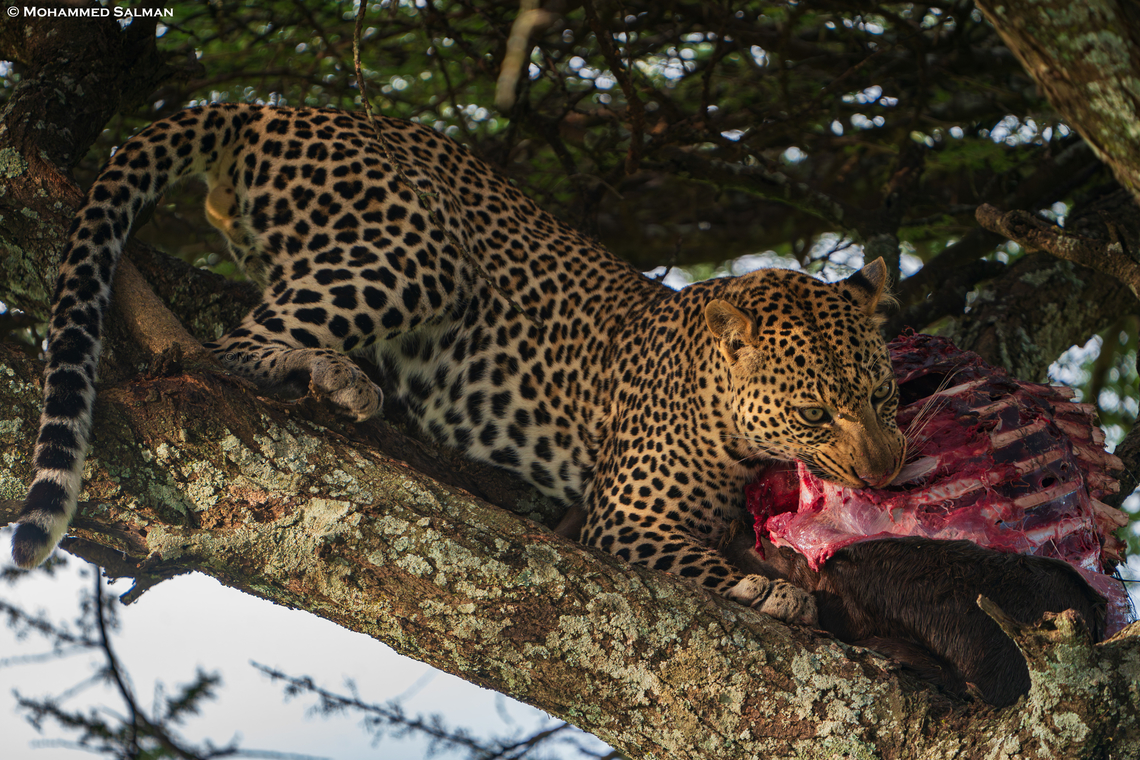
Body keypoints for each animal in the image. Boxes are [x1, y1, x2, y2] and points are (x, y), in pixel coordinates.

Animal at [12, 104, 906, 626]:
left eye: (887, 397)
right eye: (815, 412)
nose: (887, 473)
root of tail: (269, 105)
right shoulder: (627, 517)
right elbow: (698, 559)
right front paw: (767, 587)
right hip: (419, 250)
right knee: (228, 349)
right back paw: (332, 376)